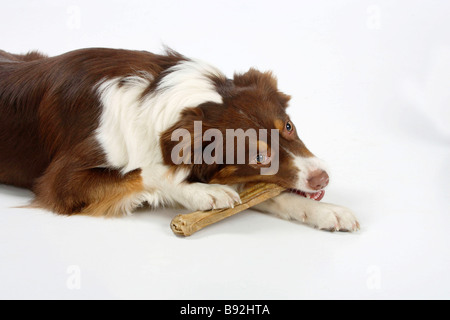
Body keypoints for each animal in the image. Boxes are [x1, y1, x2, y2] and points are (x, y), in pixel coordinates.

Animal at [0, 47, 358, 231]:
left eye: (288, 126)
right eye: (258, 157)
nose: (322, 178)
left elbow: (267, 194)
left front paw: (328, 212)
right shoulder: (60, 184)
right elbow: (148, 172)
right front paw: (202, 193)